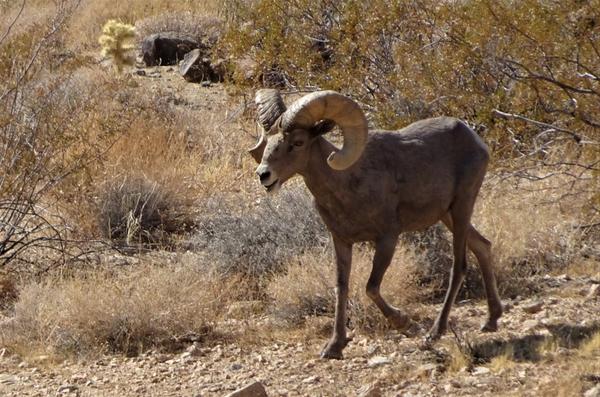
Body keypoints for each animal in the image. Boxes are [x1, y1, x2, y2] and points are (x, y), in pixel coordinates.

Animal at [247, 89, 502, 358]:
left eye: (298, 142)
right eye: (268, 139)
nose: (264, 175)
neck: (348, 185)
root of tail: (473, 138)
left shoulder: (387, 238)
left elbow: (370, 287)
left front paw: (405, 323)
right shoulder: (341, 241)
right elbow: (341, 288)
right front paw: (333, 347)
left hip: (462, 206)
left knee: (460, 266)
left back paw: (434, 333)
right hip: (447, 215)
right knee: (483, 246)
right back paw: (491, 320)